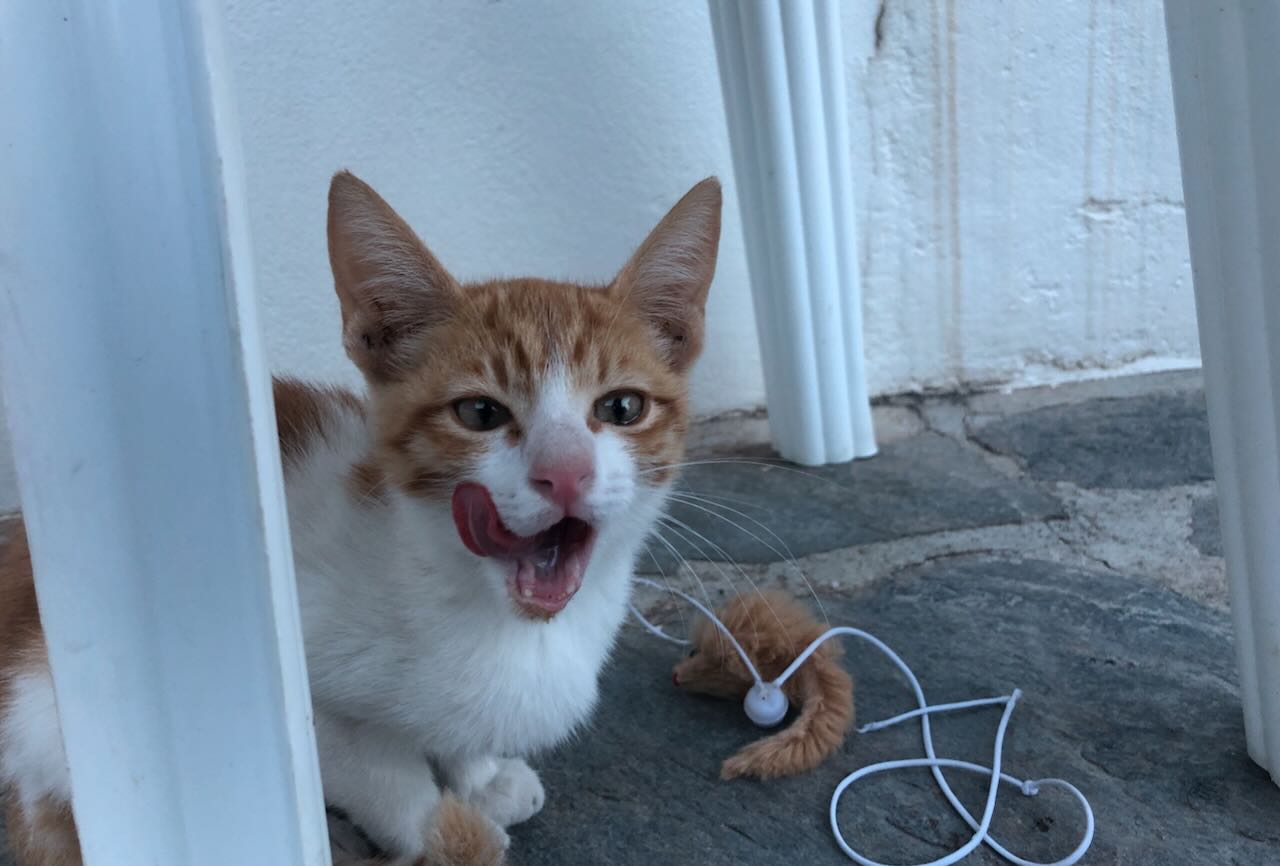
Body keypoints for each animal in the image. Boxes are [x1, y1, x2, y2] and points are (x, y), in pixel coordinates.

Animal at [0, 170, 721, 864]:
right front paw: (439, 828)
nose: (565, 472)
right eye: (480, 413)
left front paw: (479, 775)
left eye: (622, 407)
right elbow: (378, 772)